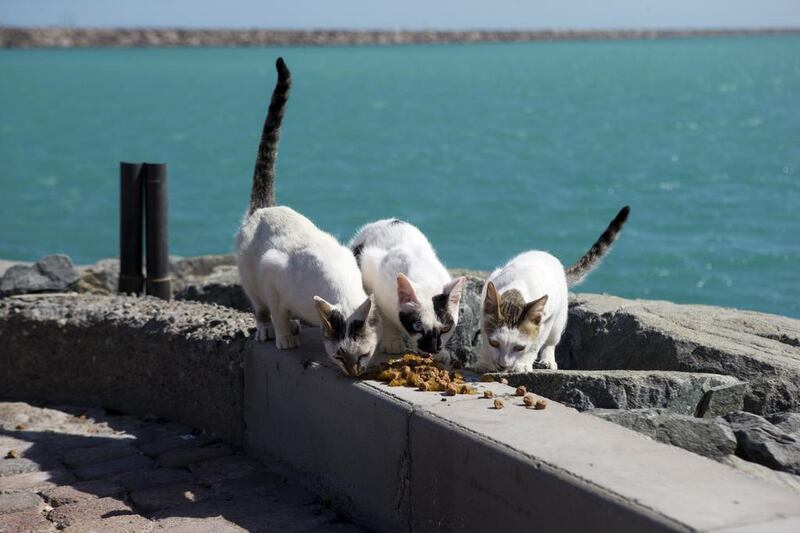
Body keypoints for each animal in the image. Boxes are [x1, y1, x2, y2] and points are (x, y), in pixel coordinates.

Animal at [234, 58, 382, 376]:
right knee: (261, 306)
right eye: (338, 356)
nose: (353, 374)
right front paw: (284, 338)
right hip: (249, 274)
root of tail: (263, 208)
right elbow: (276, 310)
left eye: (363, 356)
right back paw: (269, 329)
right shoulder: (271, 271)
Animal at [346, 218, 466, 364]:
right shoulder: (374, 274)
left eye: (445, 329)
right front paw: (392, 341)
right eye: (418, 327)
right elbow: (384, 315)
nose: (432, 349)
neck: (425, 275)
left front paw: (440, 353)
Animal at [476, 206, 632, 372]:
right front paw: (485, 361)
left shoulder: (547, 318)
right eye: (495, 343)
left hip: (559, 314)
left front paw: (523, 364)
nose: (503, 366)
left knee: (552, 340)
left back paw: (548, 360)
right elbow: (485, 338)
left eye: (519, 348)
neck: (516, 291)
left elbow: (536, 344)